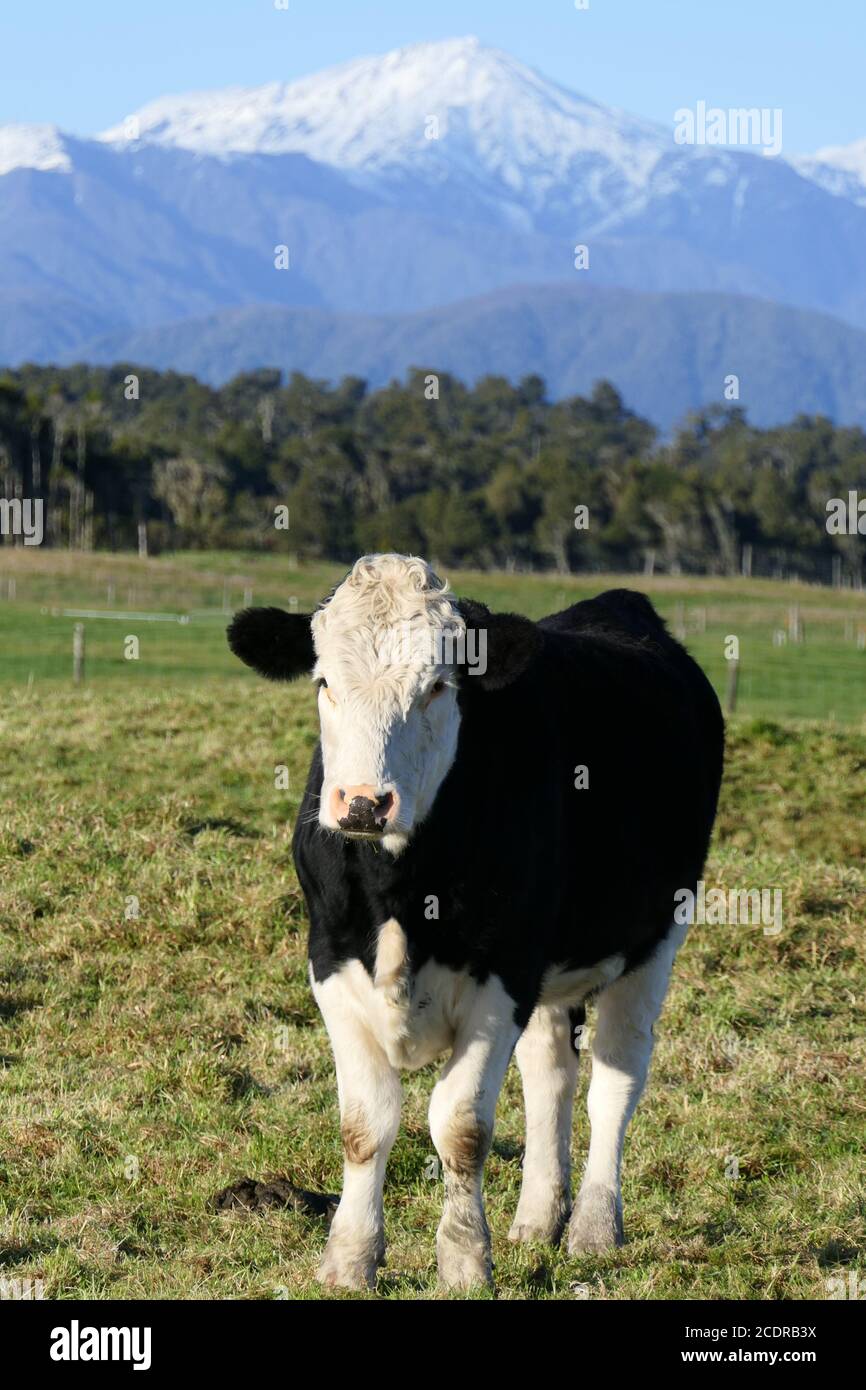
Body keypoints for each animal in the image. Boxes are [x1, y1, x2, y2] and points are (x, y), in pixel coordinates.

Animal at [227, 553, 724, 1291]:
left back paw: (593, 1227)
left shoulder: (504, 972)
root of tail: (620, 605)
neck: (398, 890)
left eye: (437, 686)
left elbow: (460, 1126)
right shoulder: (331, 961)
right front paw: (349, 1260)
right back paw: (537, 1220)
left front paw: (464, 1261)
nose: (364, 803)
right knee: (550, 1074)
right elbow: (364, 1122)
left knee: (616, 1078)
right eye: (323, 682)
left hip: (655, 938)